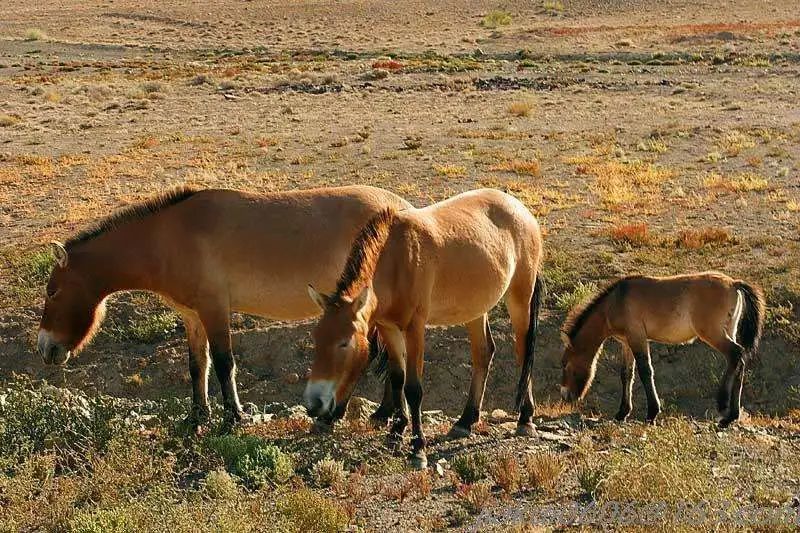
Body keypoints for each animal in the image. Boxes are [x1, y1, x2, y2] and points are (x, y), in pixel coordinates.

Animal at [36, 185, 412, 430]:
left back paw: (357, 415)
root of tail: (404, 208)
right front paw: (197, 416)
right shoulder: (192, 316)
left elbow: (223, 363)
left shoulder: (214, 309)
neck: (168, 238)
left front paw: (234, 417)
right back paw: (383, 413)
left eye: (52, 292)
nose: (45, 349)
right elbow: (197, 366)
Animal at [560, 272, 764, 426]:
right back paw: (731, 417)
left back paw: (723, 407)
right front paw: (622, 413)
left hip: (713, 334)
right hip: (729, 330)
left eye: (565, 365)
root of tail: (733, 283)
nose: (565, 396)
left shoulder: (638, 338)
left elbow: (645, 371)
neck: (616, 301)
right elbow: (626, 374)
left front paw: (652, 412)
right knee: (740, 362)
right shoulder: (627, 342)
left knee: (735, 355)